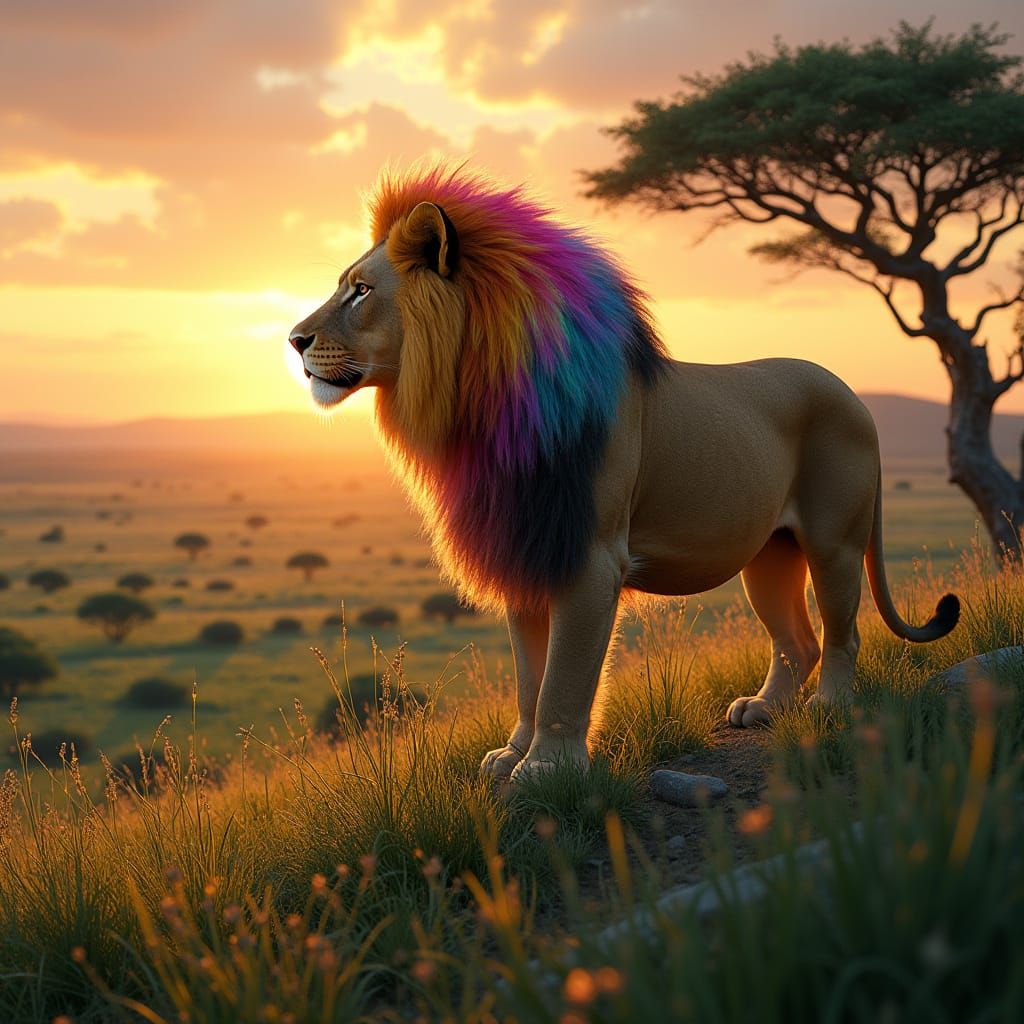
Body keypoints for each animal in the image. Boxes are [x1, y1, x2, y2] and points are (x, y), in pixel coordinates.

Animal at [288, 166, 959, 782]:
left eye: (360, 291)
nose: (294, 340)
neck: (482, 411)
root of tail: (854, 394)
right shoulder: (528, 547)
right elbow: (529, 675)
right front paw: (511, 754)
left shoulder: (589, 557)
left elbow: (563, 678)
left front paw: (545, 769)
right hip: (769, 553)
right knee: (799, 640)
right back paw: (764, 709)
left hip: (834, 541)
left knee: (843, 634)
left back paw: (830, 707)